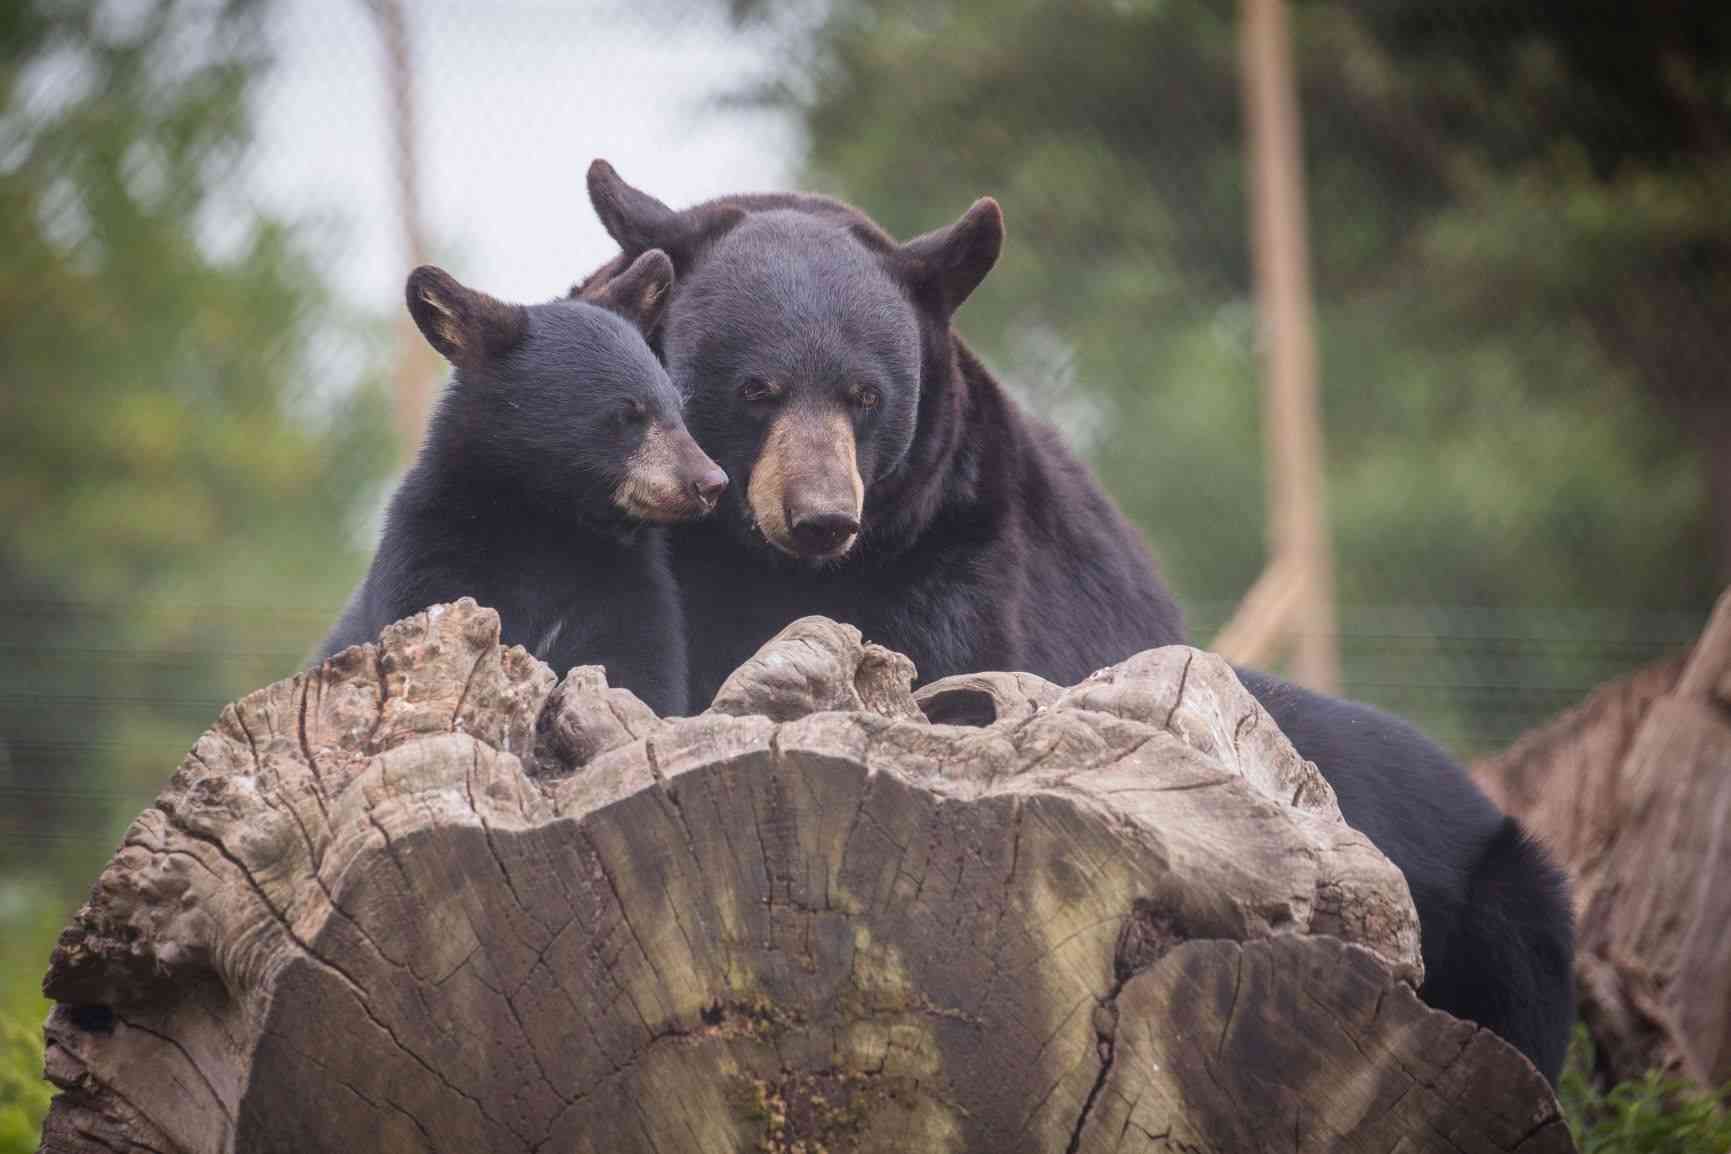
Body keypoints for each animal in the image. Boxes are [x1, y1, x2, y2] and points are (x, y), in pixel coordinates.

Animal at [321, 254, 727, 712]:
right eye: (628, 412)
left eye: (678, 407)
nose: (710, 482)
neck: (555, 527)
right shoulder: (432, 561)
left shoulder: (631, 590)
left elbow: (642, 673)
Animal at [578, 160, 1571, 1086]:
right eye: (756, 389)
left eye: (865, 395)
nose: (821, 515)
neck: (766, 567)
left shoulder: (959, 567)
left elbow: (946, 684)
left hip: (1503, 910)